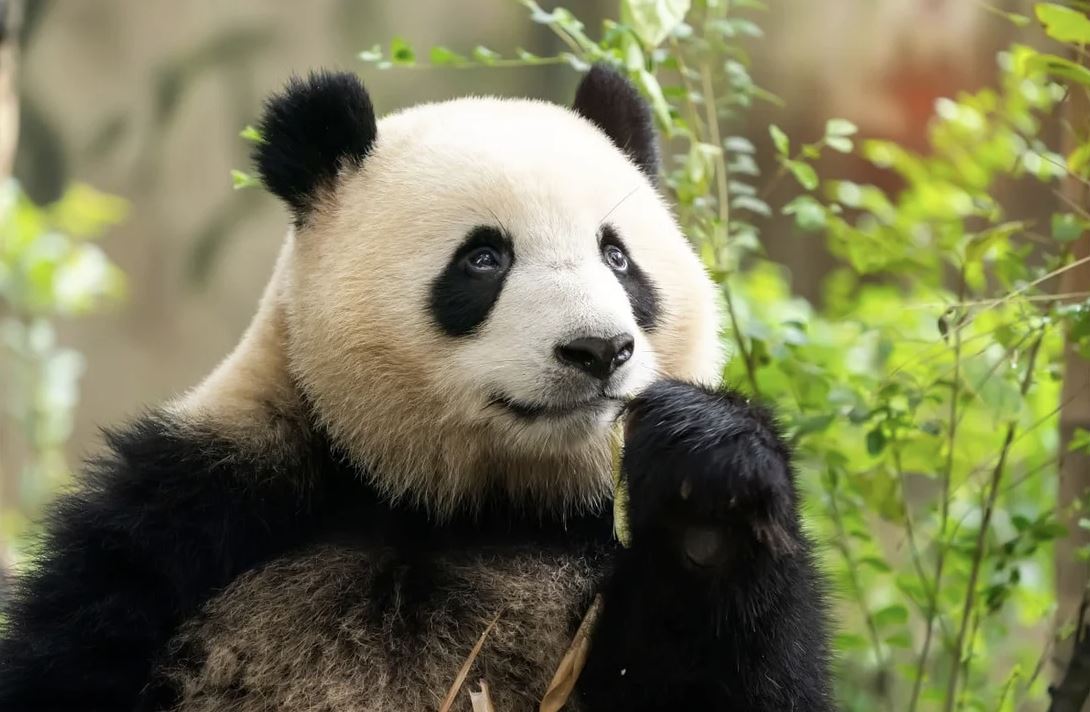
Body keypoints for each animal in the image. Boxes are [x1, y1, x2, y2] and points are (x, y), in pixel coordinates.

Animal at [0, 66, 832, 711]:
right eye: (484, 258)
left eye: (618, 257)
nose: (600, 349)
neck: (456, 504)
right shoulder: (201, 503)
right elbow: (73, 650)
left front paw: (707, 488)